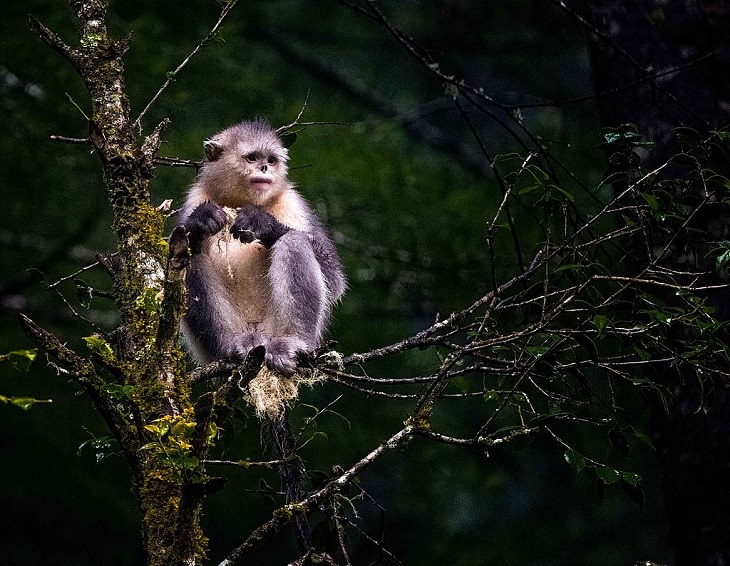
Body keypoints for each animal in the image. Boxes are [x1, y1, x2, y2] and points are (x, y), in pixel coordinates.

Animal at [178, 118, 346, 378]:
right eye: (252, 158)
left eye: (271, 160)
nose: (265, 169)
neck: (239, 202)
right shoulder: (195, 198)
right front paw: (200, 221)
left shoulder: (292, 202)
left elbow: (334, 281)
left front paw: (262, 224)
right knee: (192, 258)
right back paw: (235, 344)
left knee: (293, 241)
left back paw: (290, 343)